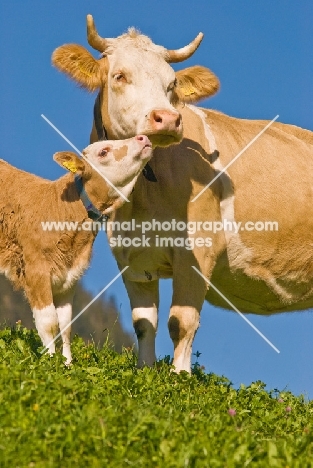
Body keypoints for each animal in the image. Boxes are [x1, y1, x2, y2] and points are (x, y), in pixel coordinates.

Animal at [0, 135, 152, 362]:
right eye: (103, 152)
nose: (142, 137)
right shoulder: (35, 270)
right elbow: (49, 322)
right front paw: (50, 362)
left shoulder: (68, 278)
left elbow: (65, 325)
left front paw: (67, 363)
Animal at [52, 15, 312, 372]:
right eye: (120, 75)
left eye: (172, 83)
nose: (167, 119)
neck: (144, 196)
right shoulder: (130, 256)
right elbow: (143, 323)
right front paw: (145, 371)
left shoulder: (198, 251)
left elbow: (181, 322)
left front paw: (180, 375)